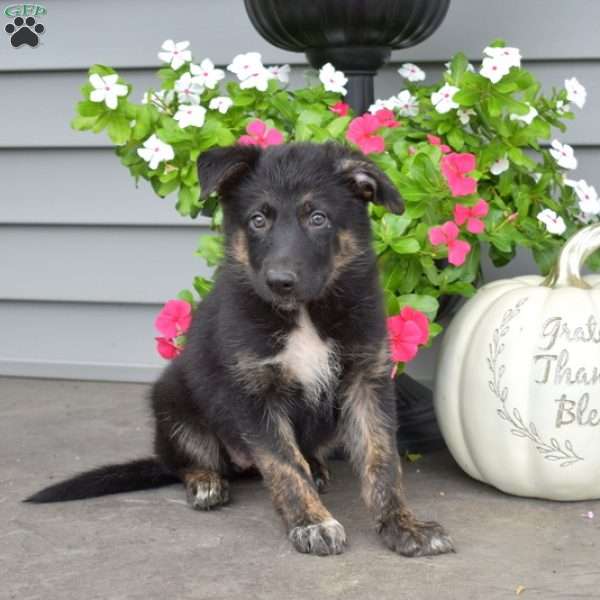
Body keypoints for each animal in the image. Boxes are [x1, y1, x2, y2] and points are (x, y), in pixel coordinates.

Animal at [25, 142, 452, 556]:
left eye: (318, 218)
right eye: (258, 220)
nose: (280, 281)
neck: (304, 313)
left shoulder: (367, 380)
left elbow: (382, 462)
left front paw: (403, 525)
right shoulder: (254, 393)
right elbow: (284, 464)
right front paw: (311, 522)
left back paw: (315, 466)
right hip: (172, 399)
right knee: (181, 460)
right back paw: (205, 480)